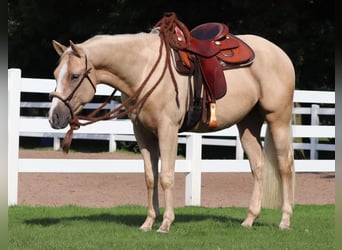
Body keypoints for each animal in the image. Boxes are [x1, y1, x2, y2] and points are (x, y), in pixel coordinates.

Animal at [48, 14, 294, 233]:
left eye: (74, 76)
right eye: (55, 73)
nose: (54, 117)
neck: (144, 69)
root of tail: (280, 54)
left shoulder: (168, 130)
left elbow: (166, 177)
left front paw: (165, 224)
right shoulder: (143, 133)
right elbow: (150, 177)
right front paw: (148, 222)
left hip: (278, 119)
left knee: (285, 166)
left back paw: (285, 221)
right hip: (248, 125)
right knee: (258, 167)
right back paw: (249, 220)